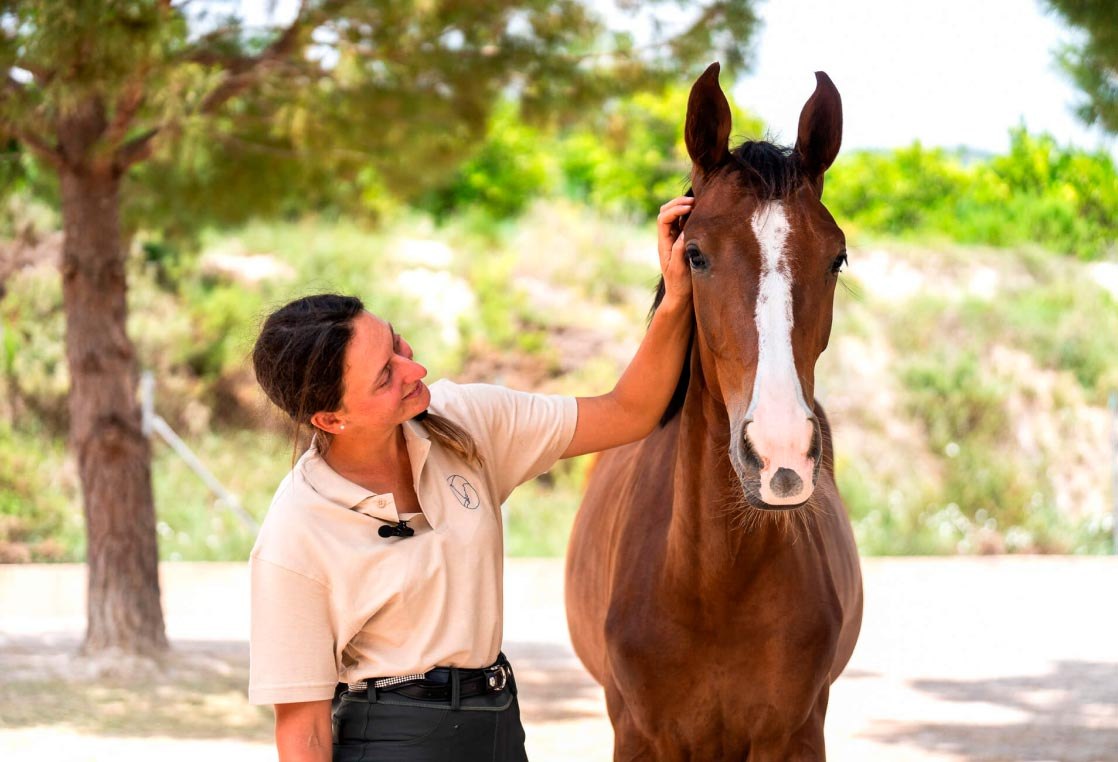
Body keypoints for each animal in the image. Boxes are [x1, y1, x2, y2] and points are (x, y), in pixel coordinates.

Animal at [565, 63, 863, 761]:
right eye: (694, 253)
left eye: (836, 258)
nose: (781, 457)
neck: (713, 585)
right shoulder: (639, 736)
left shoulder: (795, 735)